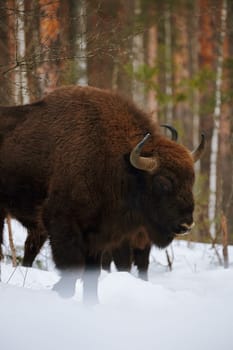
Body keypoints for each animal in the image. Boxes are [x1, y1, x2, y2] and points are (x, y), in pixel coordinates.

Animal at [0, 85, 204, 300]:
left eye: (191, 179)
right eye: (163, 182)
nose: (186, 225)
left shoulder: (99, 235)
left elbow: (93, 274)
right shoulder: (62, 223)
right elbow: (74, 268)